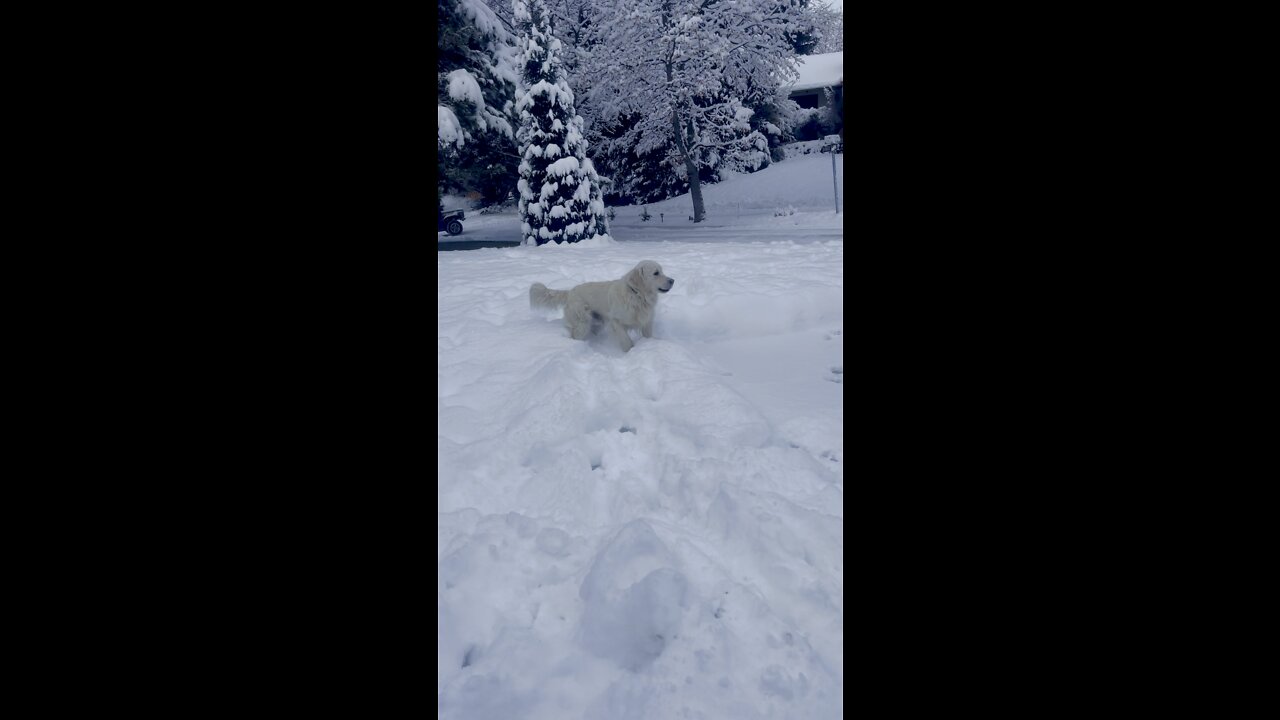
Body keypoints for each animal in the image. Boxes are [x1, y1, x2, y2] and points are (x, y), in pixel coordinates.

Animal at [529, 257, 675, 351]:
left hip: (595, 321)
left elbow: (648, 335)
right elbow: (626, 340)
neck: (637, 295)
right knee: (575, 335)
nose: (672, 280)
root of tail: (570, 292)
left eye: (662, 271)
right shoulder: (615, 322)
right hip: (582, 321)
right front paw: (630, 351)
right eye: (656, 273)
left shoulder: (646, 322)